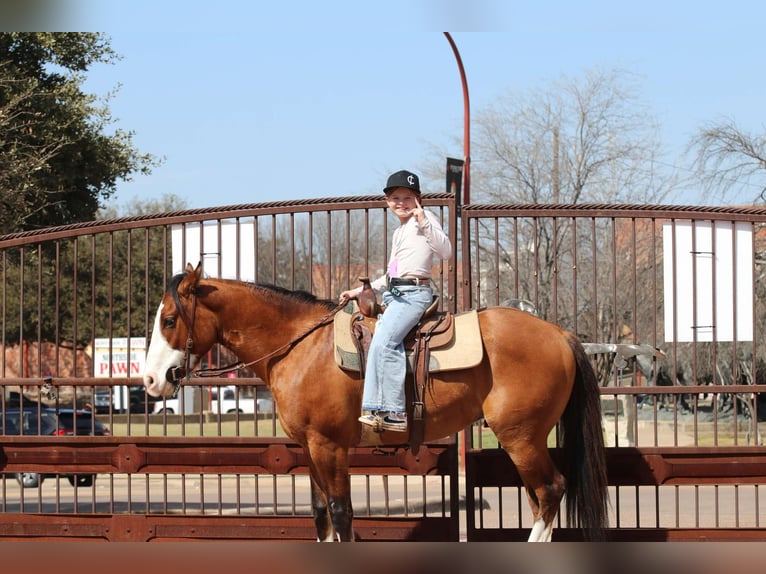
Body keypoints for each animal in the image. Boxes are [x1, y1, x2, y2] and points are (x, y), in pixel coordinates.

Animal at [142, 262, 609, 542]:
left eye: (170, 319)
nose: (150, 380)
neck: (300, 346)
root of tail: (560, 334)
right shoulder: (310, 447)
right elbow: (320, 514)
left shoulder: (330, 446)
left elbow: (341, 512)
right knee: (540, 498)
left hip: (520, 436)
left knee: (550, 491)